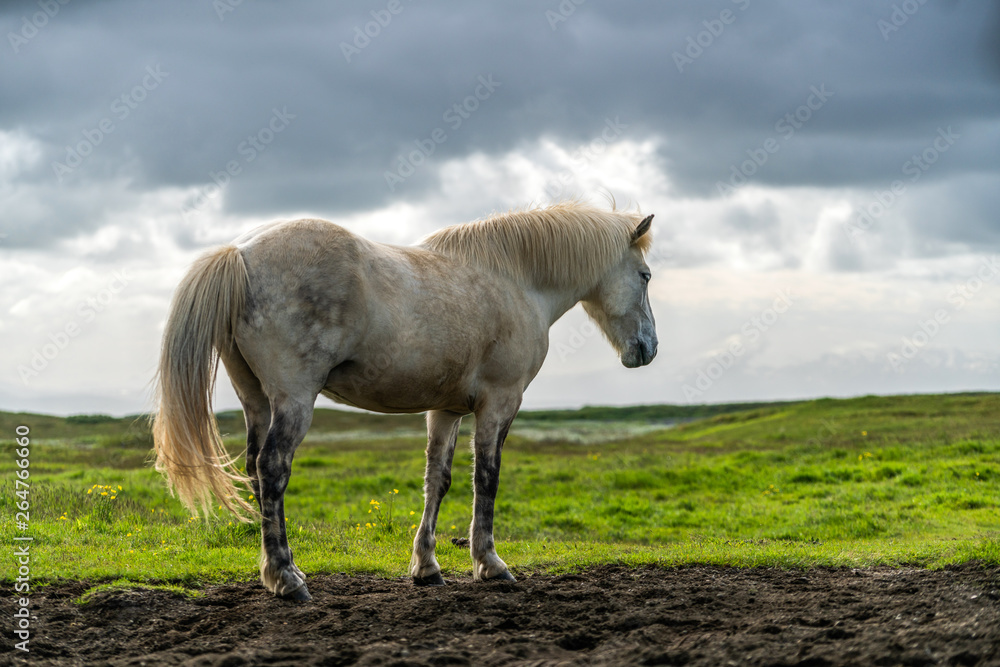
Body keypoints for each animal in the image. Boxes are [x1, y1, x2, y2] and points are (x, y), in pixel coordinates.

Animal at [152, 201, 656, 604]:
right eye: (645, 276)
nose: (648, 348)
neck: (516, 280)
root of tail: (240, 253)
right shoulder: (500, 402)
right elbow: (486, 478)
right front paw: (490, 564)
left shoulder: (446, 409)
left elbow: (439, 480)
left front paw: (426, 568)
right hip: (293, 400)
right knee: (273, 469)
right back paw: (287, 580)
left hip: (255, 400)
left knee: (256, 471)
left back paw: (282, 571)